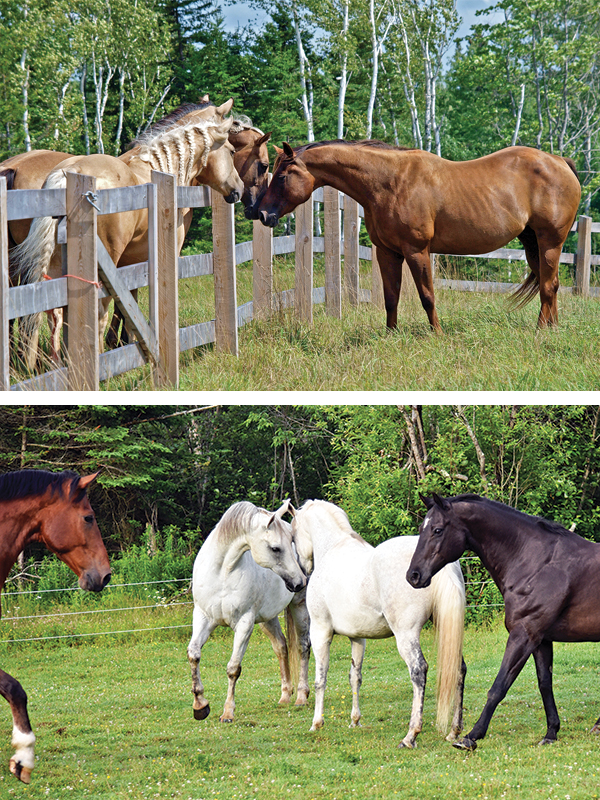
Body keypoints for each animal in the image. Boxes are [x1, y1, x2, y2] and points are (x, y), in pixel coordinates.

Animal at [9, 102, 243, 369]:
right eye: (232, 151)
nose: (239, 190)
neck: (159, 168)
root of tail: (69, 172)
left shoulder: (130, 262)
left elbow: (129, 301)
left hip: (54, 264)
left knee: (55, 313)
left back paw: (58, 363)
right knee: (97, 312)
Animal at [187, 499, 310, 724]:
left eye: (290, 543)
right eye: (275, 548)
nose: (299, 582)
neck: (223, 572)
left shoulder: (244, 624)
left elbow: (233, 668)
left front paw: (228, 712)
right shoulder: (203, 617)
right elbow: (194, 655)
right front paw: (200, 705)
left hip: (299, 606)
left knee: (303, 647)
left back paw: (301, 697)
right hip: (267, 618)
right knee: (281, 647)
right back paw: (285, 696)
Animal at [257, 140, 581, 330]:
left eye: (282, 176)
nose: (260, 213)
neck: (389, 182)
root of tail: (559, 161)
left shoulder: (416, 251)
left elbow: (427, 295)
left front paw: (437, 334)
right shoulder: (387, 252)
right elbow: (391, 297)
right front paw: (391, 335)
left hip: (550, 241)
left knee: (548, 286)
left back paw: (541, 331)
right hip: (532, 243)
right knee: (550, 284)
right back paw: (552, 328)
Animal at [289, 499, 466, 748]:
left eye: (293, 535)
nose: (301, 576)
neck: (334, 549)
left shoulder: (321, 631)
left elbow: (320, 679)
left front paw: (316, 723)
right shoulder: (357, 637)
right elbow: (355, 677)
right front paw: (355, 721)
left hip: (406, 635)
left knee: (418, 670)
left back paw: (411, 735)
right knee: (458, 669)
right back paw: (454, 732)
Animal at [407, 493, 600, 751]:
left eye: (437, 530)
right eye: (422, 528)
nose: (413, 575)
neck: (537, 564)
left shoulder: (523, 635)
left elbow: (499, 687)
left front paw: (470, 737)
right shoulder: (541, 640)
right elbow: (544, 683)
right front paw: (551, 732)